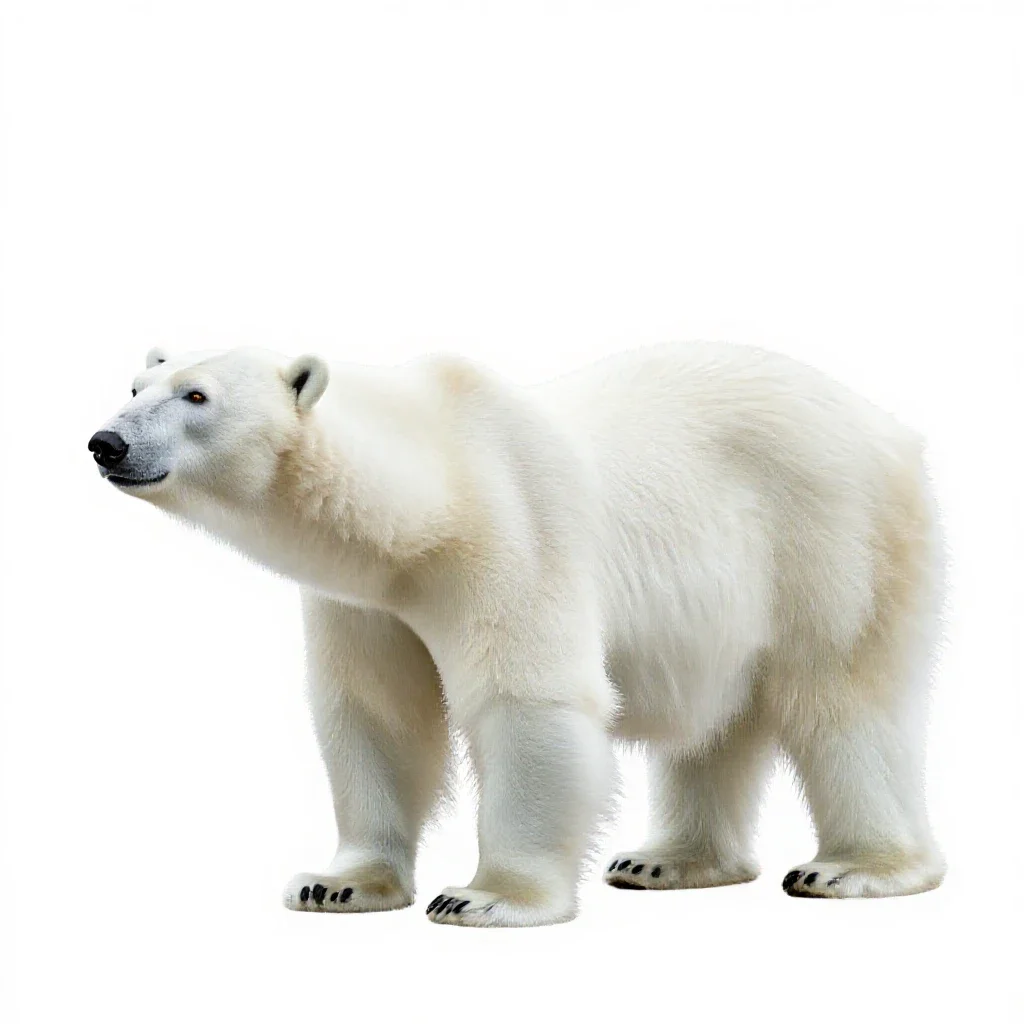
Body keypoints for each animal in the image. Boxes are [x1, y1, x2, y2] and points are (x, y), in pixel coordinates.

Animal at [88, 341, 946, 926]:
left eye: (197, 395)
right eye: (133, 385)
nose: (107, 442)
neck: (429, 497)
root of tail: (893, 427)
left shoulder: (512, 535)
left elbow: (527, 703)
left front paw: (483, 898)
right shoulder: (365, 600)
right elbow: (376, 715)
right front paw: (336, 882)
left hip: (833, 541)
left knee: (841, 701)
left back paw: (854, 869)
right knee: (715, 728)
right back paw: (666, 859)